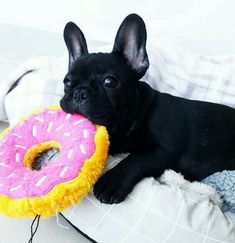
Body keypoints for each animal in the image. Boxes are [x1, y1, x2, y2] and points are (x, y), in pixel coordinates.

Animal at [60, 12, 235, 203]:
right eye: (67, 82)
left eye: (109, 81)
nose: (79, 92)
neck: (136, 116)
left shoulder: (163, 149)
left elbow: (134, 160)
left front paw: (111, 182)